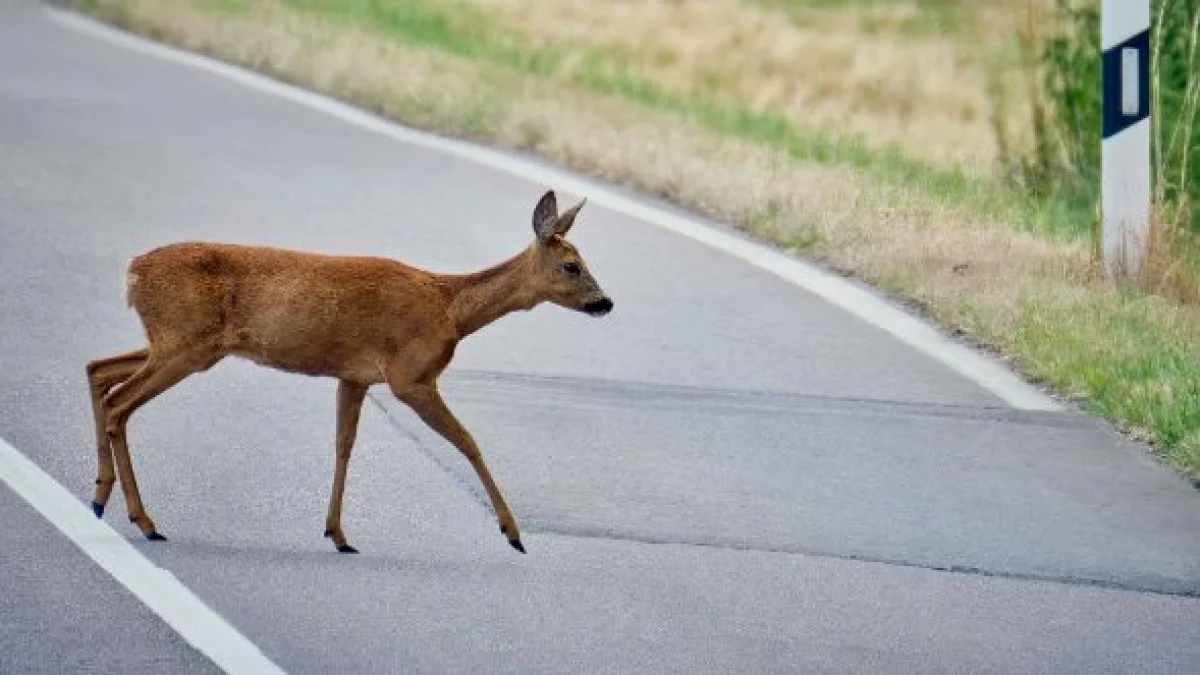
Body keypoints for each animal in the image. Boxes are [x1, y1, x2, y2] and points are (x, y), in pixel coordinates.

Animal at [87, 189, 609, 552]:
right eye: (571, 265)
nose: (605, 303)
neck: (449, 309)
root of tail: (132, 270)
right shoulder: (410, 377)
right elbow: (468, 441)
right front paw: (513, 533)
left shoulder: (354, 375)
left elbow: (344, 446)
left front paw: (337, 533)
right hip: (184, 345)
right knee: (118, 402)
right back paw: (144, 521)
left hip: (177, 344)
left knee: (97, 370)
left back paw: (100, 499)